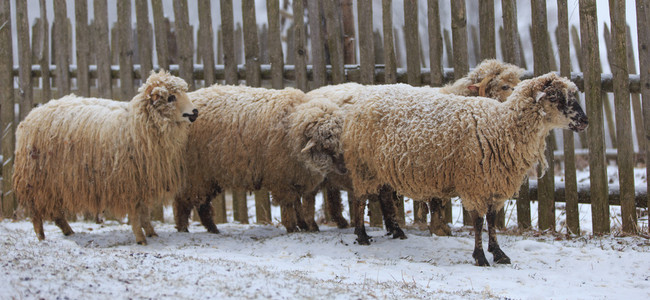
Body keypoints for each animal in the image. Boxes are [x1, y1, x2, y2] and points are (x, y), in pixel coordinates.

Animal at [13, 71, 196, 245]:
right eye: (171, 97)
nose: (195, 112)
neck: (137, 124)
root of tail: (32, 114)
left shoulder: (142, 181)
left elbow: (144, 211)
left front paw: (151, 232)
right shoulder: (128, 183)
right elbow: (135, 213)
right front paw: (140, 238)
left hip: (54, 182)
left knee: (55, 211)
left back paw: (68, 231)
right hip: (36, 179)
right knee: (36, 212)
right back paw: (41, 236)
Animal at [172, 84, 344, 234]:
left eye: (338, 142)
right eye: (325, 147)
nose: (344, 169)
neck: (291, 126)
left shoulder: (293, 177)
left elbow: (297, 204)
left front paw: (304, 225)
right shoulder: (282, 180)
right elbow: (289, 205)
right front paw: (292, 228)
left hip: (207, 177)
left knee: (202, 205)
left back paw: (213, 229)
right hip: (194, 173)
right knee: (183, 203)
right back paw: (184, 229)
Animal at [344, 72, 588, 264]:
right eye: (554, 97)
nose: (585, 121)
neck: (501, 126)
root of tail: (367, 93)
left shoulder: (493, 184)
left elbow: (491, 220)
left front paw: (498, 253)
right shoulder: (475, 184)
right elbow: (478, 222)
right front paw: (480, 257)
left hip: (382, 167)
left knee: (384, 196)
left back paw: (396, 231)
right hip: (364, 166)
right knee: (360, 199)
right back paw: (362, 235)